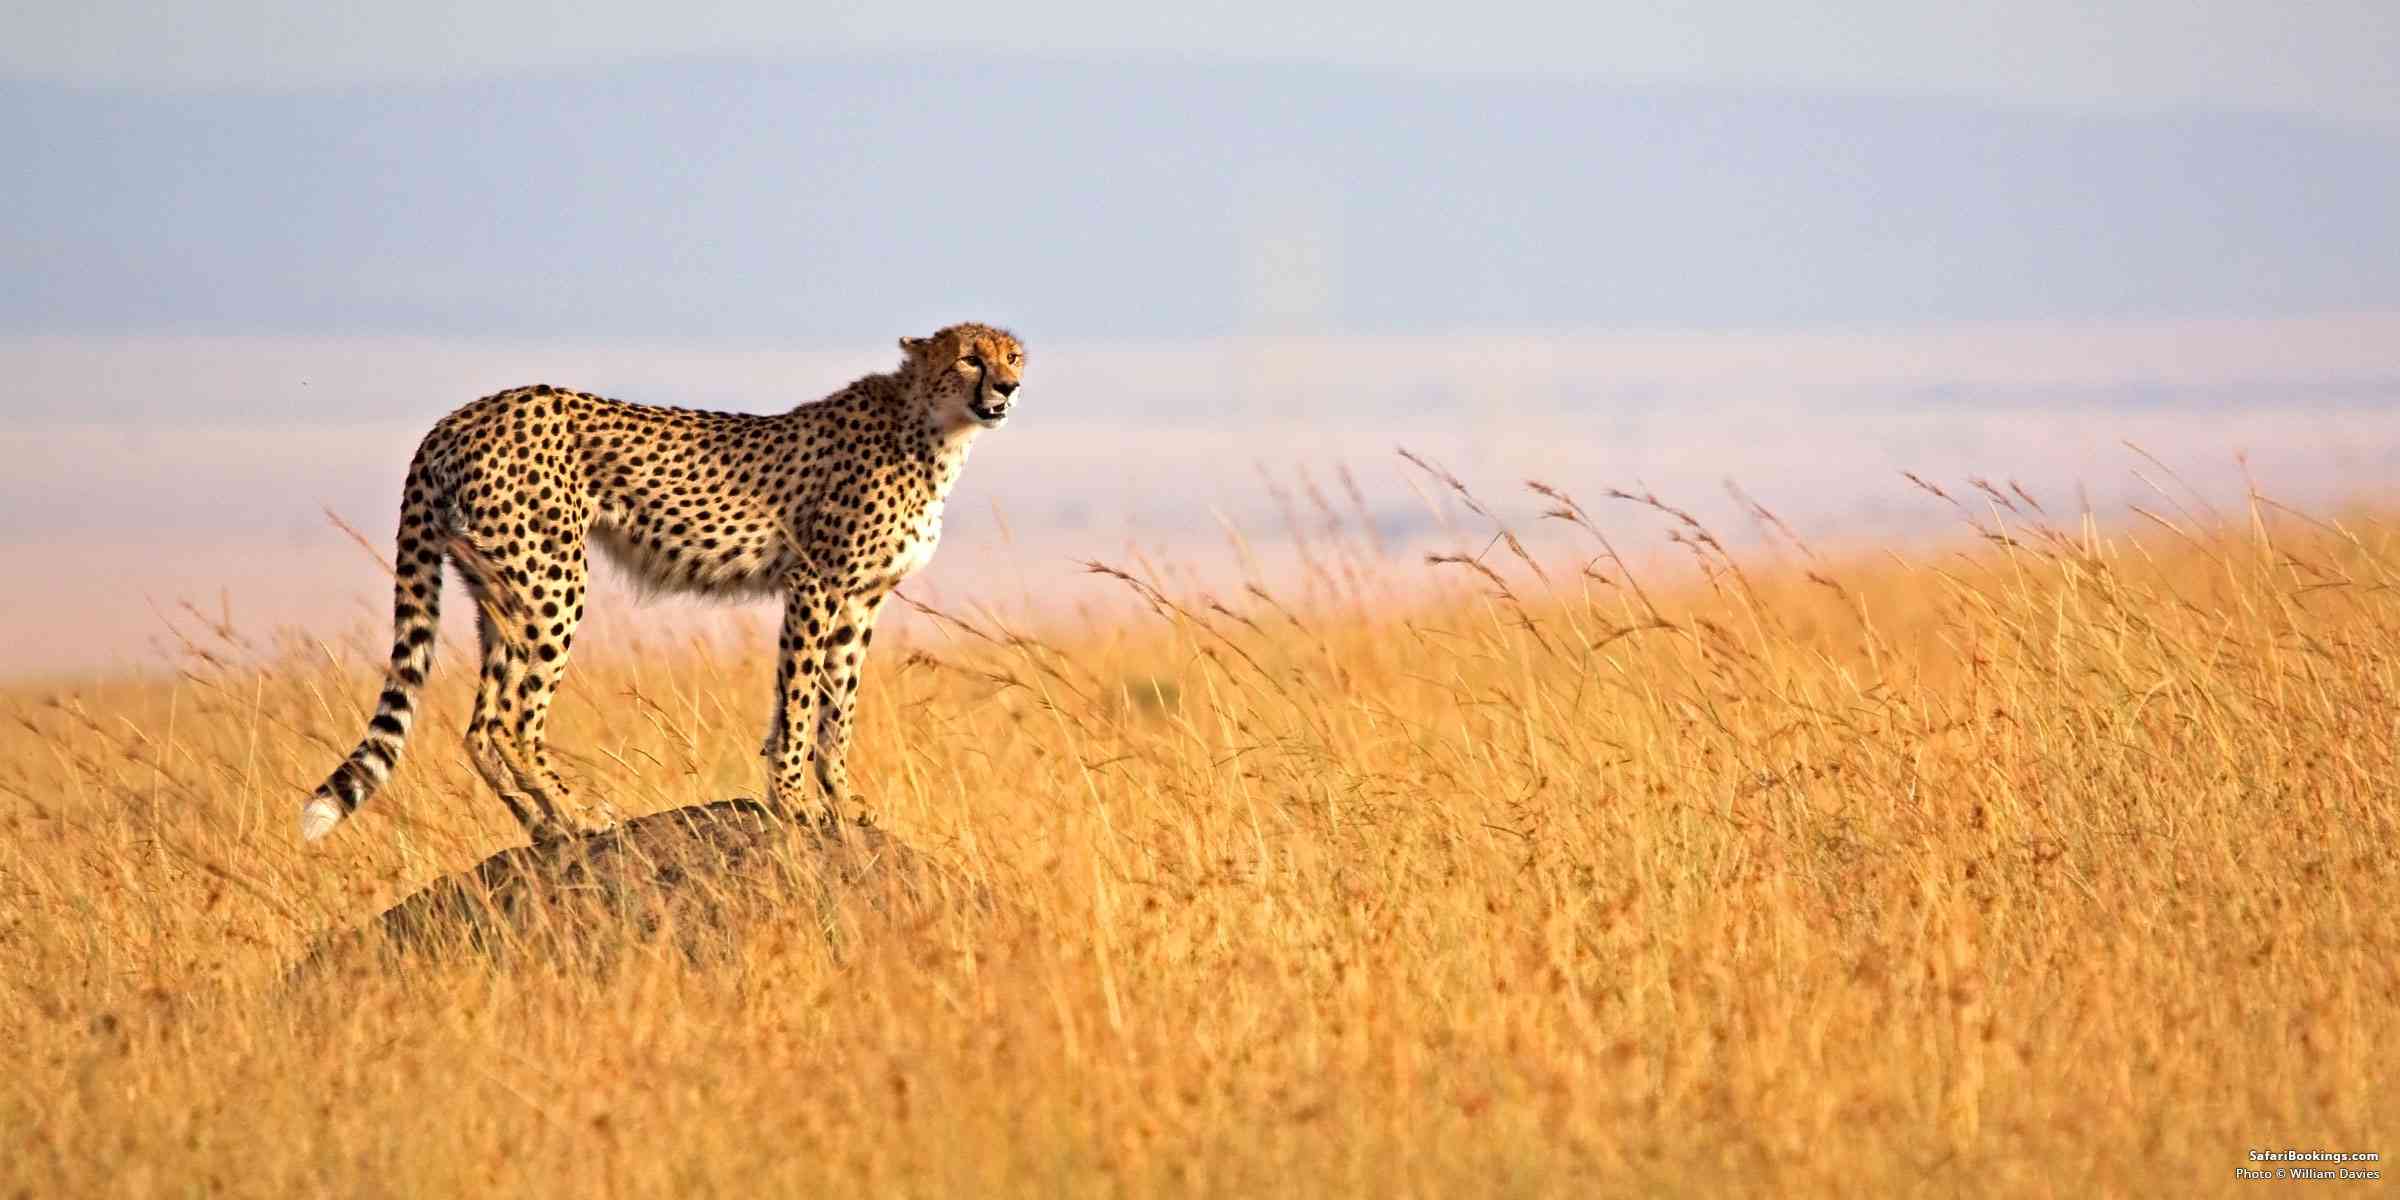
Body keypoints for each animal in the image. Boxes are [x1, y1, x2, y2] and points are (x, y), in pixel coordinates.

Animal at [300, 322, 1026, 843]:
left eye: (1014, 355)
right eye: (970, 357)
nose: (1010, 388)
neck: (932, 429)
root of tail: (463, 413)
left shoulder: (860, 599)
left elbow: (836, 707)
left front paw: (841, 800)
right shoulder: (816, 583)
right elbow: (798, 700)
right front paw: (794, 802)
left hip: (501, 587)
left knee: (480, 724)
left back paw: (542, 826)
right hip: (553, 580)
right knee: (513, 718)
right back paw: (580, 815)